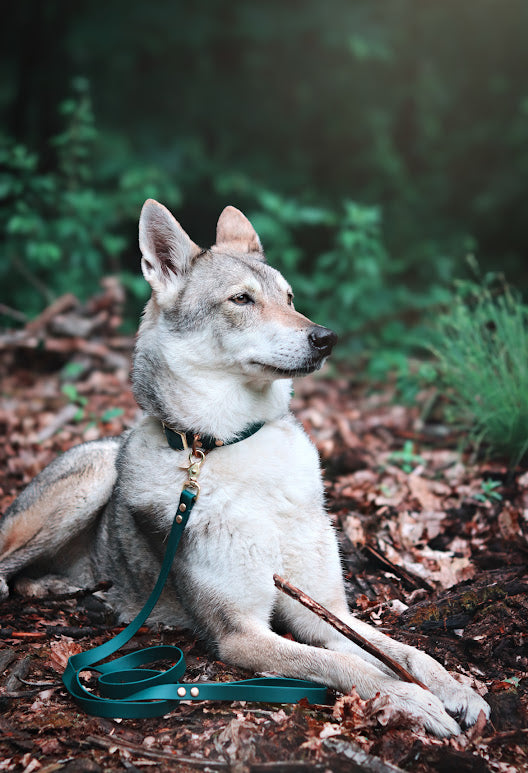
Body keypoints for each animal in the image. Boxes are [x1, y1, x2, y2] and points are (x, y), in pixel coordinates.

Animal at [0, 196, 490, 732]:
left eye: (291, 298)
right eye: (241, 300)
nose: (326, 337)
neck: (233, 443)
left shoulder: (323, 610)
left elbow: (403, 652)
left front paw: (454, 689)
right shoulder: (240, 632)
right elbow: (346, 664)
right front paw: (411, 701)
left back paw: (60, 587)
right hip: (95, 471)